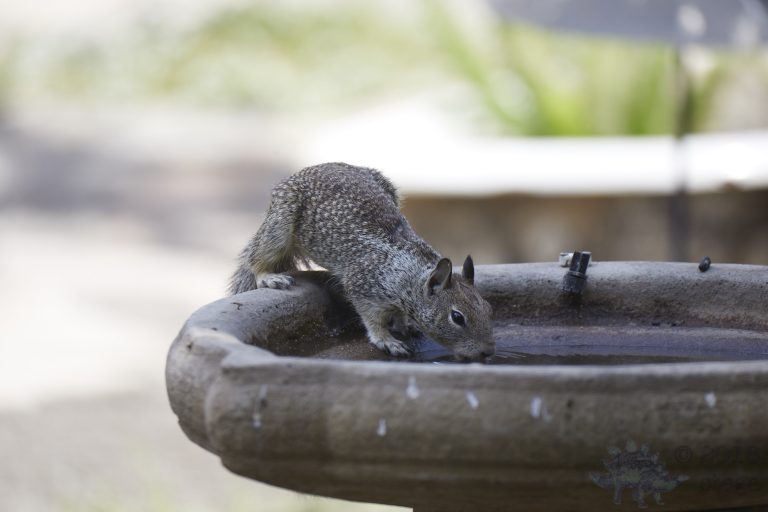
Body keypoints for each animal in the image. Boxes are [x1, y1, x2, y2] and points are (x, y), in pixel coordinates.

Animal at [229, 162, 494, 361]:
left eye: (489, 308)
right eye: (457, 317)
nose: (488, 352)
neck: (407, 272)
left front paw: (405, 324)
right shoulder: (363, 285)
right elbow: (372, 320)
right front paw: (387, 340)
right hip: (281, 223)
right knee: (258, 257)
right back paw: (269, 276)